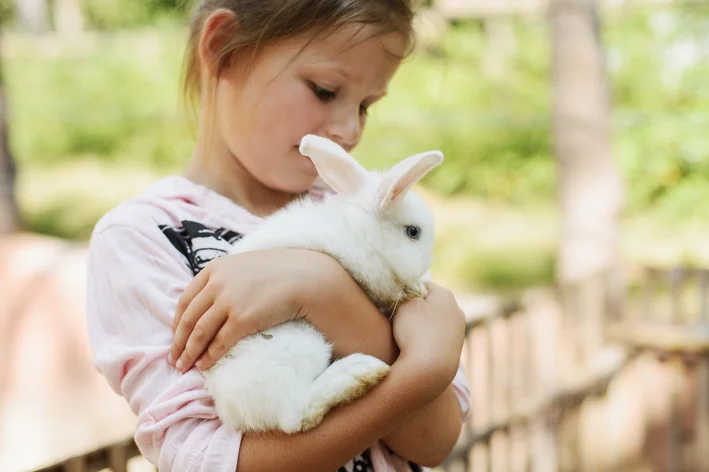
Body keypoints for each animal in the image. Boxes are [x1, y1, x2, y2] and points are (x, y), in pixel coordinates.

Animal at [202, 135, 442, 434]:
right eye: (413, 232)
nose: (426, 268)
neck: (359, 233)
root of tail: (231, 410)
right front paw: (415, 290)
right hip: (299, 346)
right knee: (294, 415)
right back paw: (358, 373)